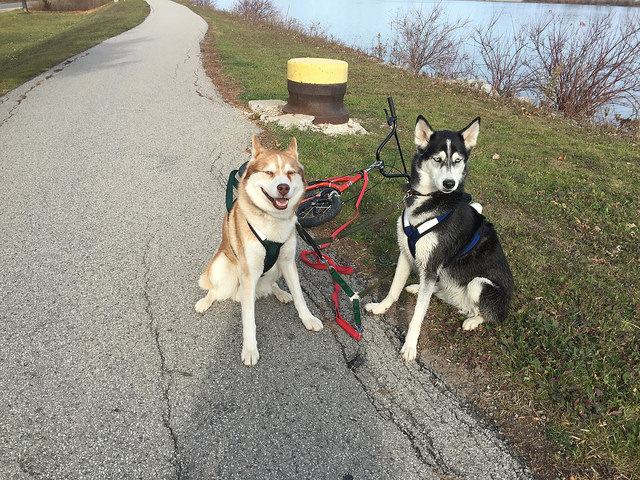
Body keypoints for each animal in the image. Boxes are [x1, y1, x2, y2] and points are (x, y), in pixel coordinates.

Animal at [195, 135, 322, 368]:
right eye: (269, 172)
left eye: (290, 173)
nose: (283, 187)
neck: (273, 222)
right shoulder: (249, 271)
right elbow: (249, 320)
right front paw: (250, 349)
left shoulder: (288, 262)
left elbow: (300, 296)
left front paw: (307, 318)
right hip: (223, 268)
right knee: (215, 290)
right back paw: (204, 302)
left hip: (277, 269)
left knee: (272, 284)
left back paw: (281, 293)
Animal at [368, 116, 512, 362]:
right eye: (437, 159)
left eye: (458, 160)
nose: (449, 184)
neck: (430, 200)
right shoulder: (406, 254)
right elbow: (394, 289)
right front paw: (382, 307)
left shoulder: (432, 263)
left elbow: (418, 314)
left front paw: (410, 346)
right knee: (438, 289)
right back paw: (417, 288)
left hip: (479, 284)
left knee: (485, 314)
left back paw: (472, 320)